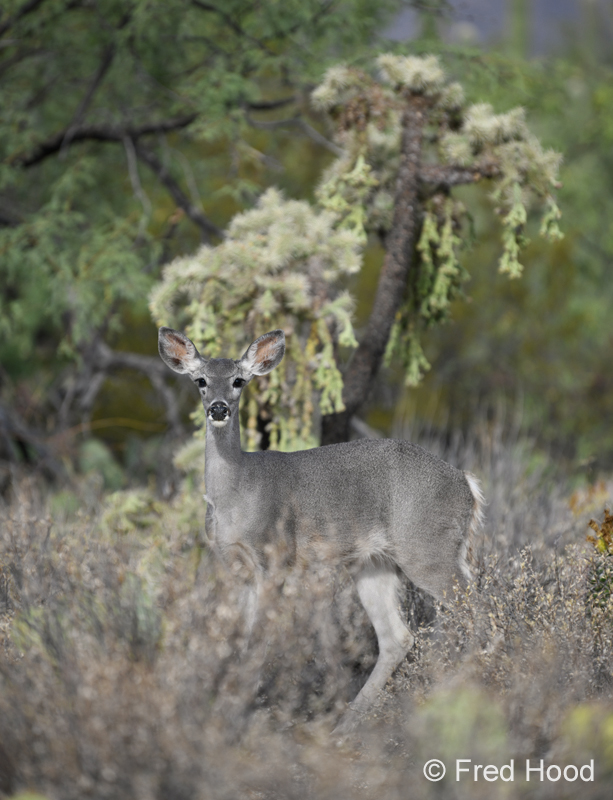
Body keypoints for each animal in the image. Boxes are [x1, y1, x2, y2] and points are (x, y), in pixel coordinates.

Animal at [158, 326, 484, 732]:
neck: (238, 494)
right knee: (398, 637)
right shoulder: (235, 568)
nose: (218, 408)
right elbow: (237, 640)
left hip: (428, 548)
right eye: (200, 381)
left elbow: (258, 642)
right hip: (374, 564)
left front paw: (236, 709)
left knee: (476, 605)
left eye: (238, 381)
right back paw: (345, 726)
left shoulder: (275, 558)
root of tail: (467, 483)